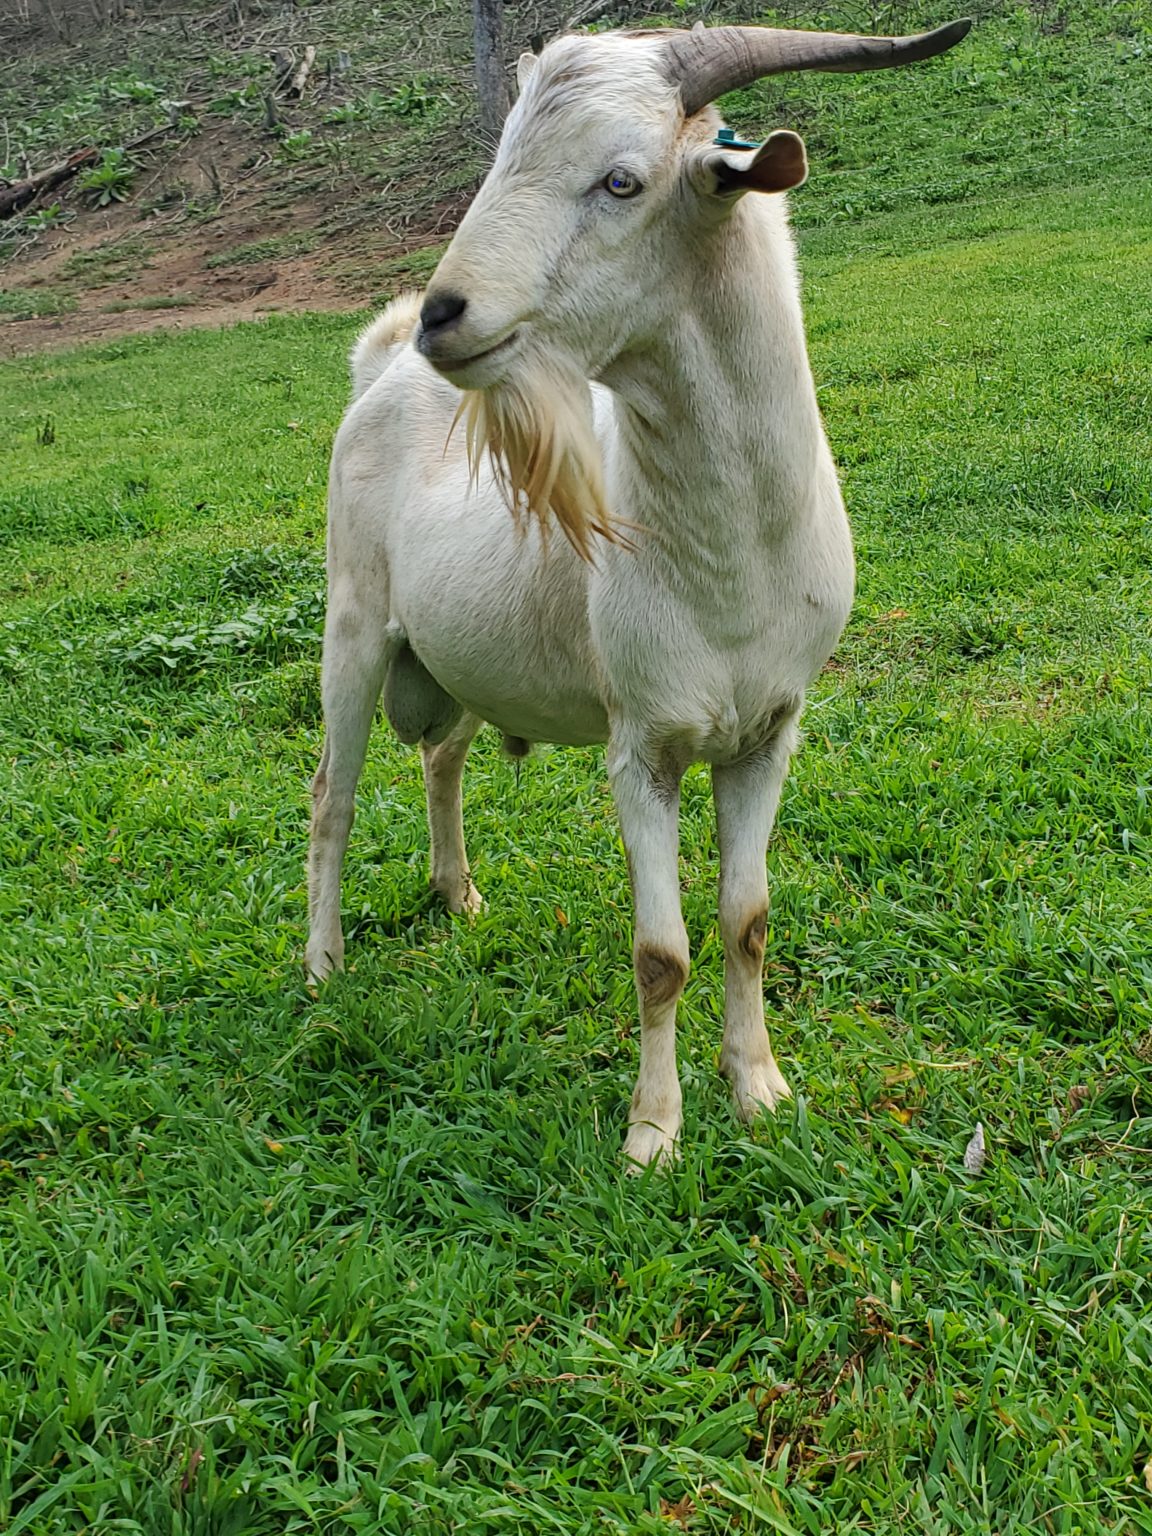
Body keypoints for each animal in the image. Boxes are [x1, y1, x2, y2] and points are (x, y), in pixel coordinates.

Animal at [306, 18, 972, 1166]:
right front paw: (653, 1136)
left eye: (621, 180)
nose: (445, 314)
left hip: (459, 656)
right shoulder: (643, 745)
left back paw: (457, 893)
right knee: (329, 798)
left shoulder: (768, 732)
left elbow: (747, 921)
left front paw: (760, 1090)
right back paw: (323, 967)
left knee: (442, 758)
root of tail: (380, 370)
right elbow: (660, 953)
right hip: (352, 625)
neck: (729, 560)